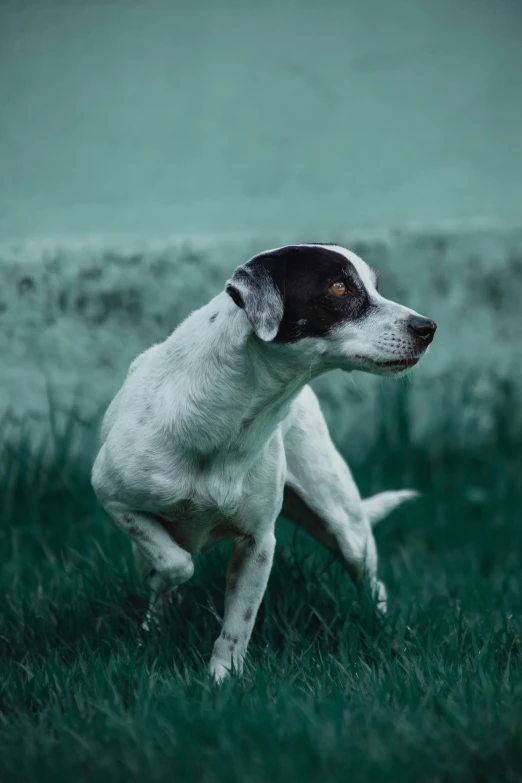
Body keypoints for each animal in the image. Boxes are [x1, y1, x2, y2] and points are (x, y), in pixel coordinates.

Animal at [90, 243, 434, 680]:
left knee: (372, 581)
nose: (427, 327)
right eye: (338, 287)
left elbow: (238, 625)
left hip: (345, 527)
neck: (227, 419)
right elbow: (175, 564)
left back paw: (386, 632)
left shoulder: (258, 542)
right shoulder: (112, 496)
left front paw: (222, 678)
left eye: (375, 285)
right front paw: (162, 614)